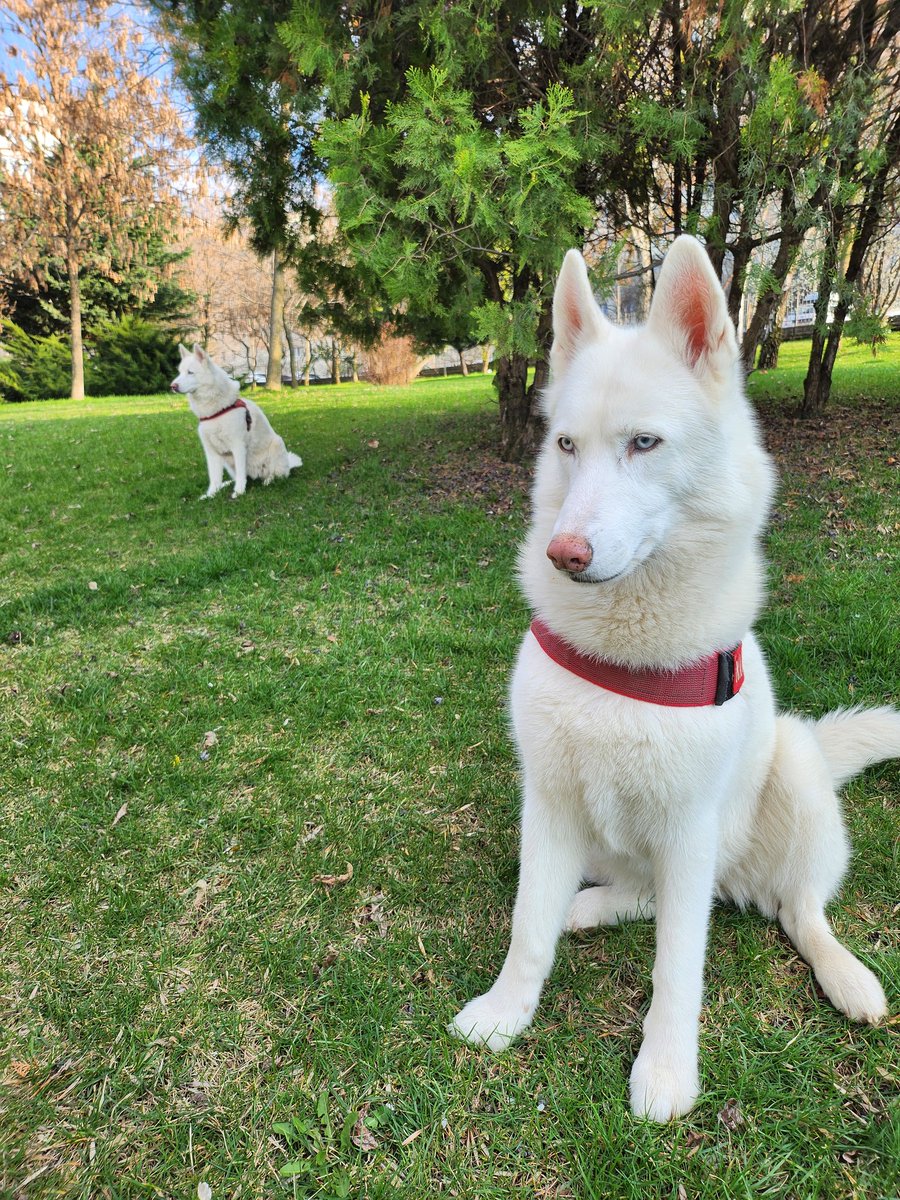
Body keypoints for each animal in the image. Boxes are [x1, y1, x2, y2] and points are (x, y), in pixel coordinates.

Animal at [170, 345, 304, 499]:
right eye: (180, 372)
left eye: (190, 372)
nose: (172, 386)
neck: (216, 412)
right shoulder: (211, 452)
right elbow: (214, 478)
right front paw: (211, 494)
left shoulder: (238, 447)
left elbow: (240, 475)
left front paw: (239, 492)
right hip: (228, 463)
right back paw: (227, 484)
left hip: (277, 444)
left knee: (275, 474)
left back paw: (268, 481)